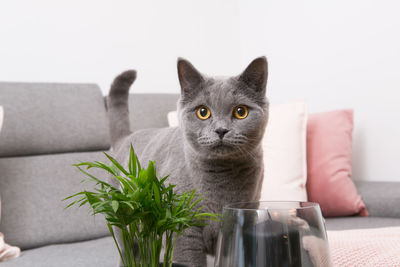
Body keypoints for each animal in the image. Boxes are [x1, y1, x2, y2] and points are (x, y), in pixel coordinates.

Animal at [108, 57, 268, 267]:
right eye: (203, 112)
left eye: (240, 111)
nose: (221, 130)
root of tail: (127, 136)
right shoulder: (183, 229)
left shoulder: (241, 222)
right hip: (124, 218)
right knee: (129, 251)